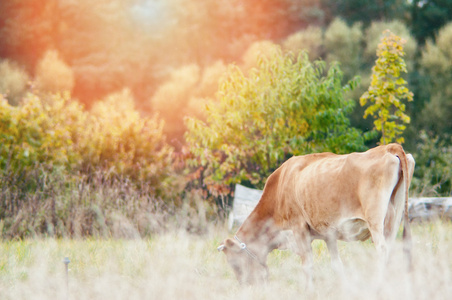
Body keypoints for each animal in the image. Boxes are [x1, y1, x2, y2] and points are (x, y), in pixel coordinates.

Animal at [217, 144, 414, 284]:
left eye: (234, 263)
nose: (246, 284)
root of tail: (388, 147)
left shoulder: (298, 228)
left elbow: (307, 265)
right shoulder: (329, 234)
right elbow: (337, 264)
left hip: (375, 221)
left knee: (382, 250)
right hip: (394, 219)